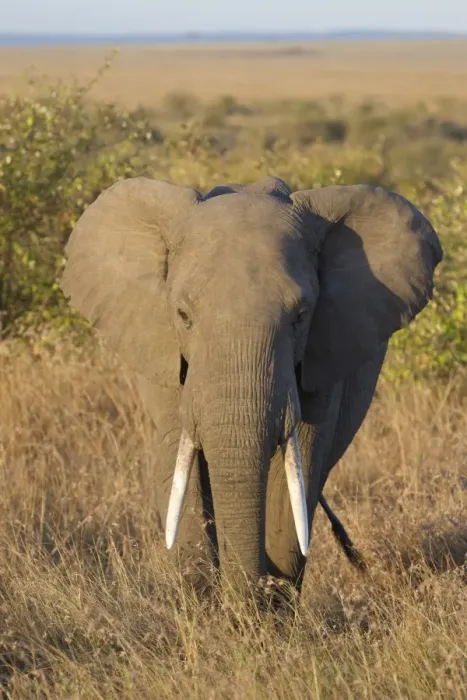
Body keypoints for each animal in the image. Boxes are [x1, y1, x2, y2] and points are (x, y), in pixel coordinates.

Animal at [60, 175, 442, 600]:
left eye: (301, 316)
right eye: (182, 315)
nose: (248, 593)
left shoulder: (324, 352)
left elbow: (297, 472)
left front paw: (267, 609)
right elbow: (179, 460)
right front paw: (205, 605)